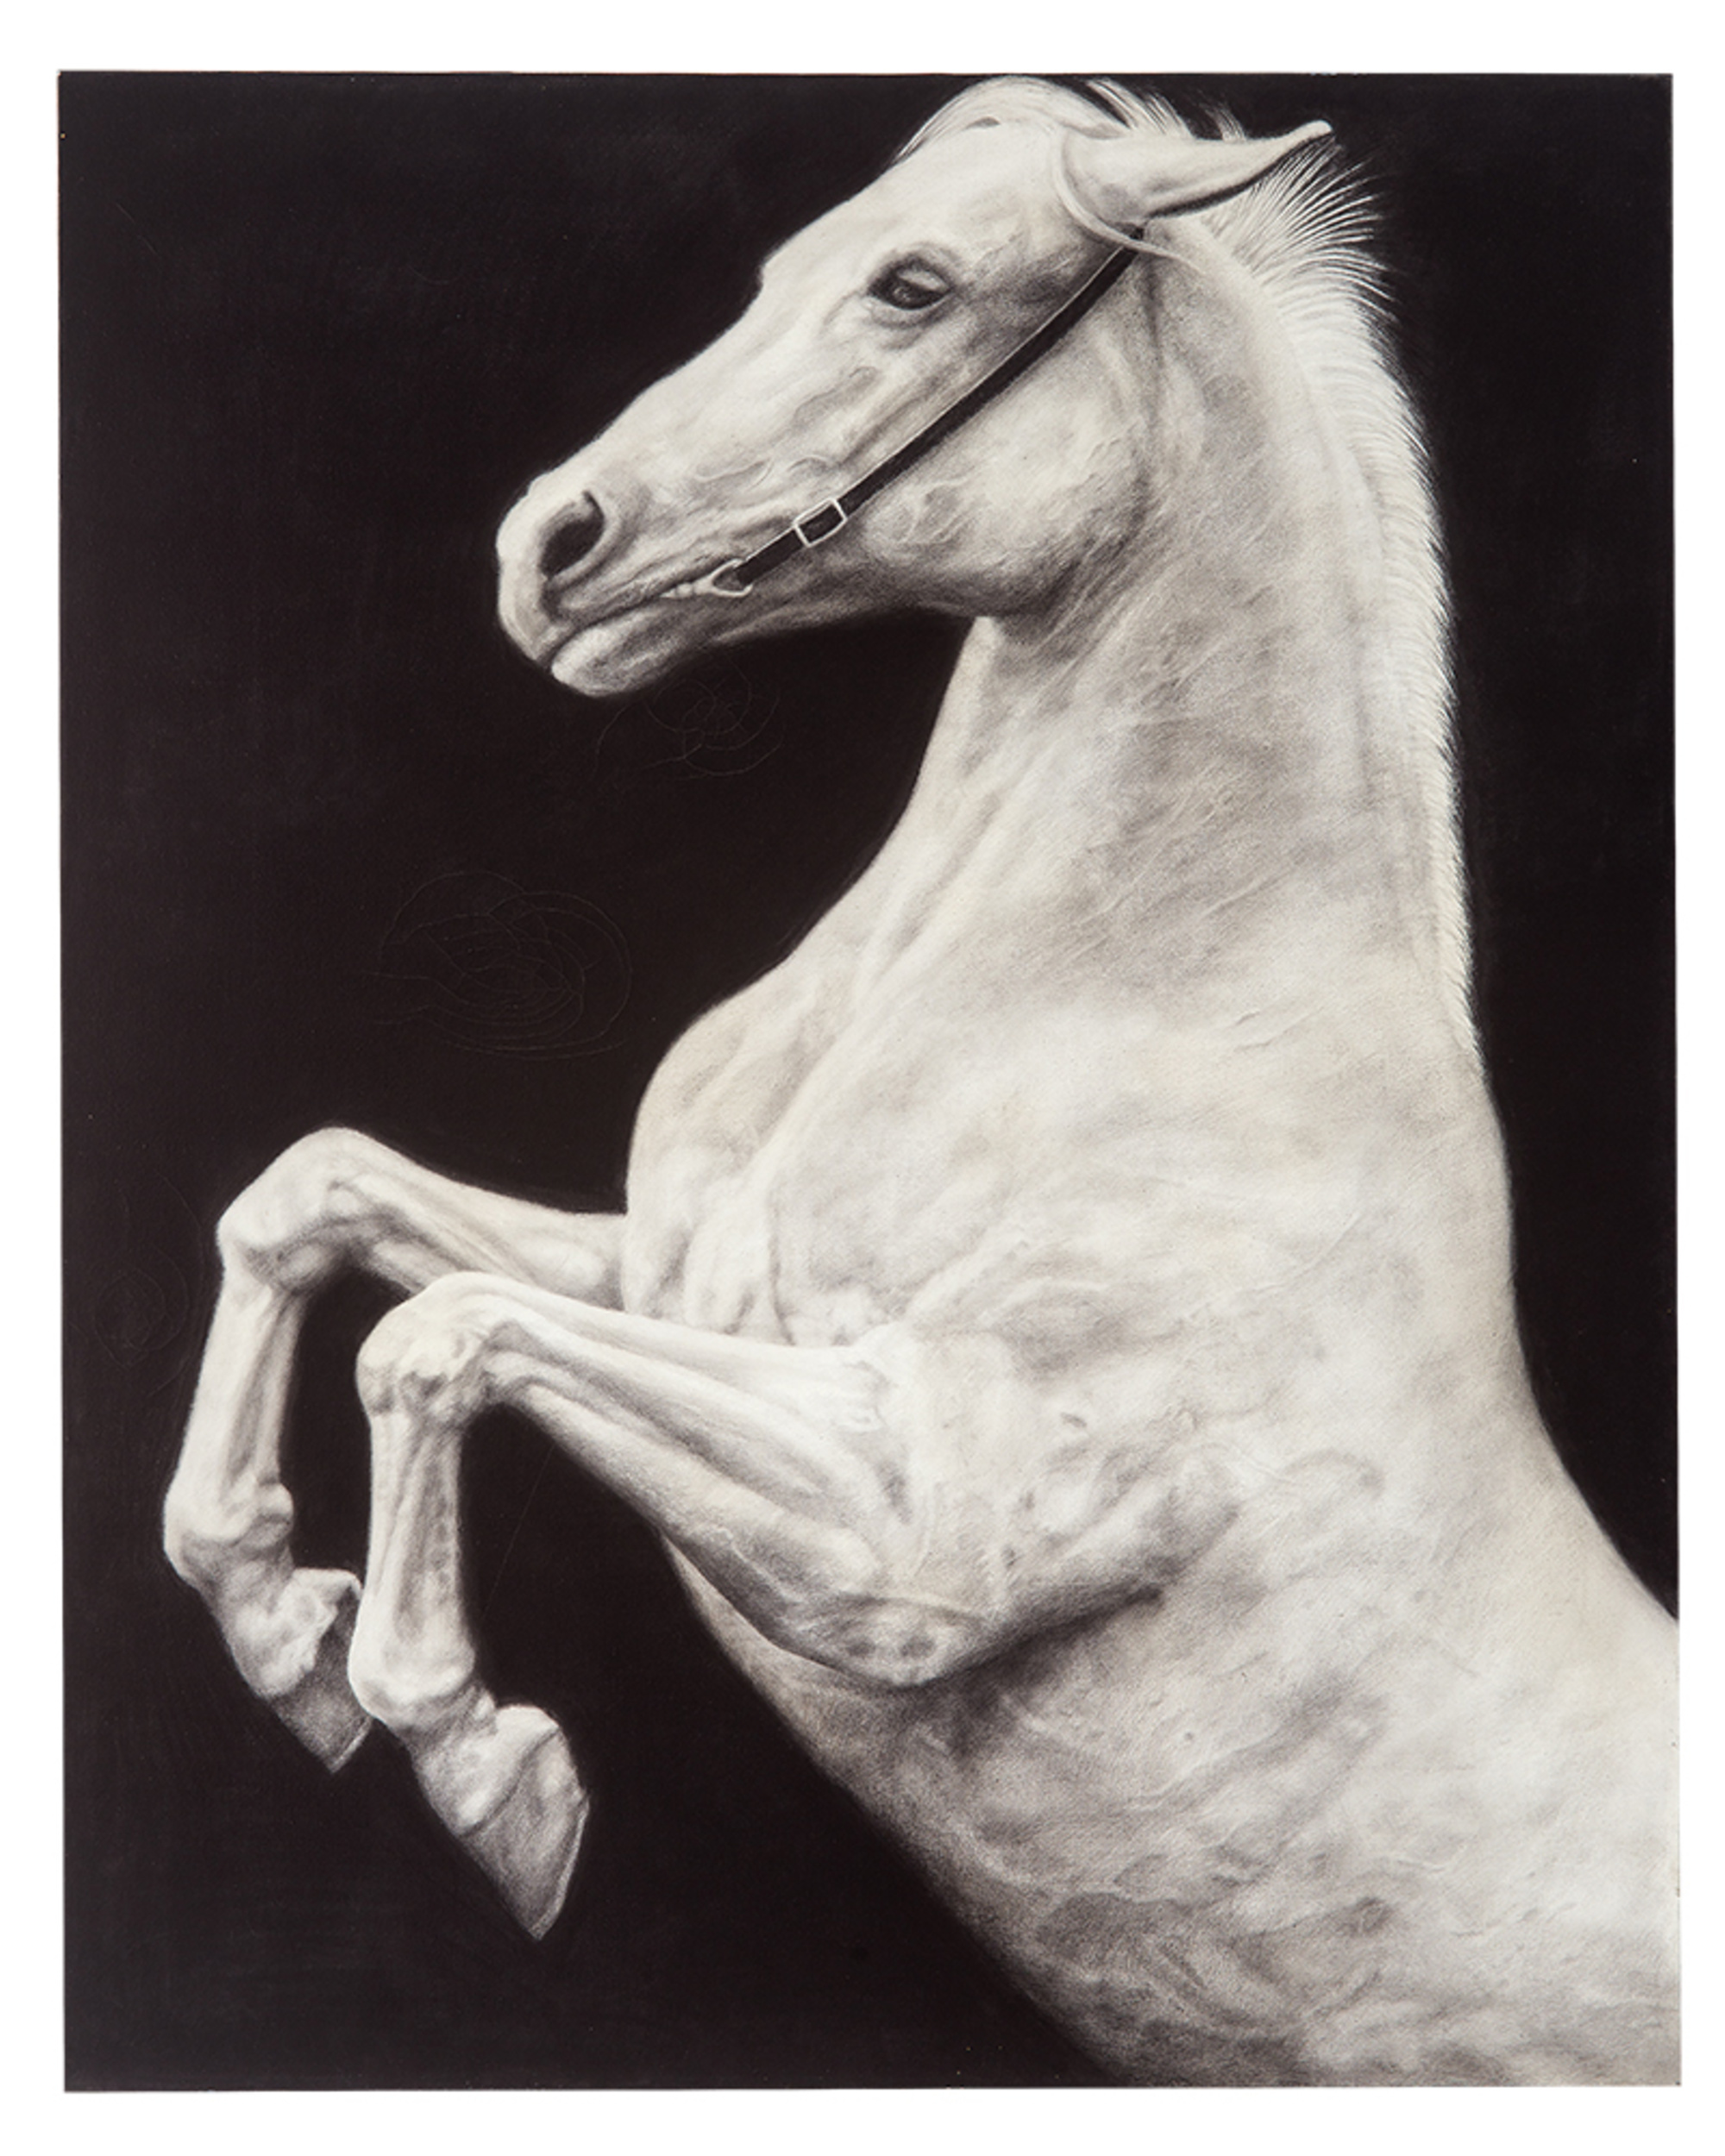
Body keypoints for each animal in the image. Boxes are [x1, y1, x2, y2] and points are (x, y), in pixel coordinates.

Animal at [161, 77, 1677, 2086]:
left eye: (914, 286)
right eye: (781, 264)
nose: (547, 547)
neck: (1137, 1001)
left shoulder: (910, 1542)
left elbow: (438, 1340)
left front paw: (481, 1764)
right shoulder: (666, 1279)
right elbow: (312, 1193)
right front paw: (272, 1616)